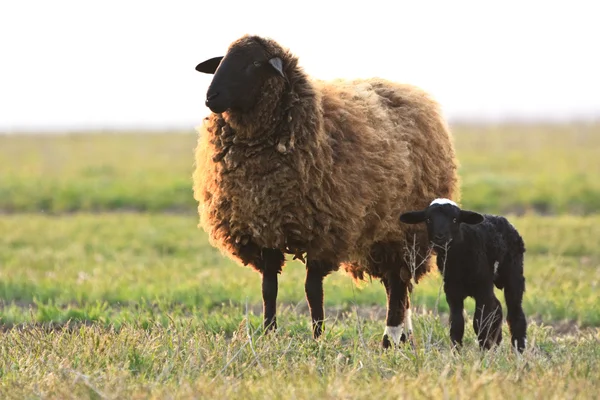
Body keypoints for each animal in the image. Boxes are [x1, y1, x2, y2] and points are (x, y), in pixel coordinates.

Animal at [192, 35, 460, 346]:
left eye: (255, 63)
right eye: (222, 60)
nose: (211, 97)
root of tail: (412, 92)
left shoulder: (324, 233)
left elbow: (312, 290)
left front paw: (317, 337)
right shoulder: (265, 228)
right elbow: (269, 288)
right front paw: (269, 333)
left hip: (403, 231)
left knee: (397, 283)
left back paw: (390, 338)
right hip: (383, 235)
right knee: (399, 286)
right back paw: (403, 337)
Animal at [400, 198, 528, 352]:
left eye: (455, 219)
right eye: (428, 219)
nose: (440, 237)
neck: (458, 261)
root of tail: (504, 220)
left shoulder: (482, 288)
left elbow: (479, 322)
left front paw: (484, 350)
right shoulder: (452, 291)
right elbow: (456, 324)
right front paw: (457, 352)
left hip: (513, 275)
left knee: (515, 312)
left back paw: (518, 349)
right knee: (496, 306)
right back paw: (497, 343)